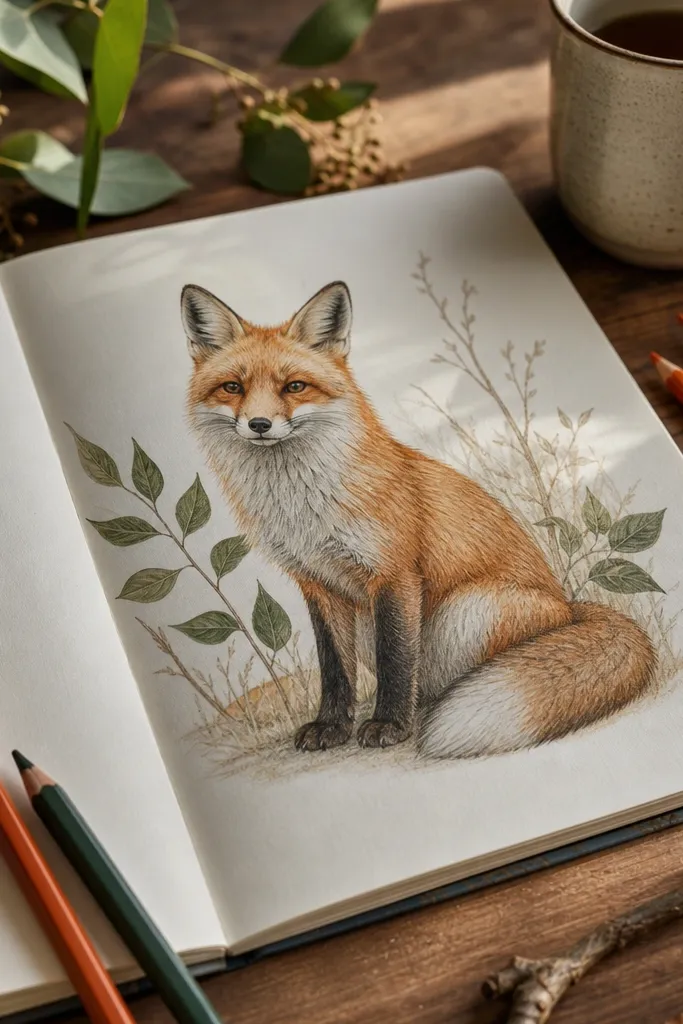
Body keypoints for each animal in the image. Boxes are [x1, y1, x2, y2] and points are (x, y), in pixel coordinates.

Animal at [180, 279, 657, 758]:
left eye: (295, 386)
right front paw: (331, 726)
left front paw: (389, 724)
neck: (301, 506)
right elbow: (335, 669)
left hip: (469, 610)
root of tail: (569, 608)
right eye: (232, 387)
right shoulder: (318, 583)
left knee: (475, 669)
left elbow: (395, 658)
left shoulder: (394, 574)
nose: (259, 424)